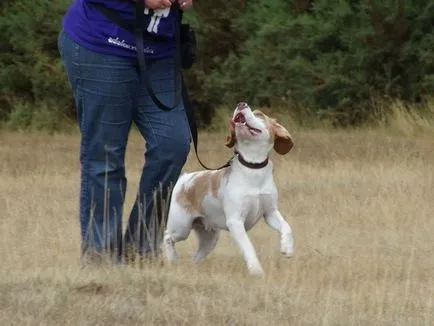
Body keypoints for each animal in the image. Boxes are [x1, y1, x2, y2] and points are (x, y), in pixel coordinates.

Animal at [163, 102, 294, 276]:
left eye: (259, 114)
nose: (241, 104)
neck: (253, 168)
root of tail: (183, 179)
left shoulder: (270, 213)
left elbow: (287, 227)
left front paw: (287, 248)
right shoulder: (235, 222)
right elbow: (248, 247)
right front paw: (256, 270)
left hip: (210, 238)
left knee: (195, 258)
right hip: (181, 227)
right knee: (167, 236)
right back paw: (172, 259)